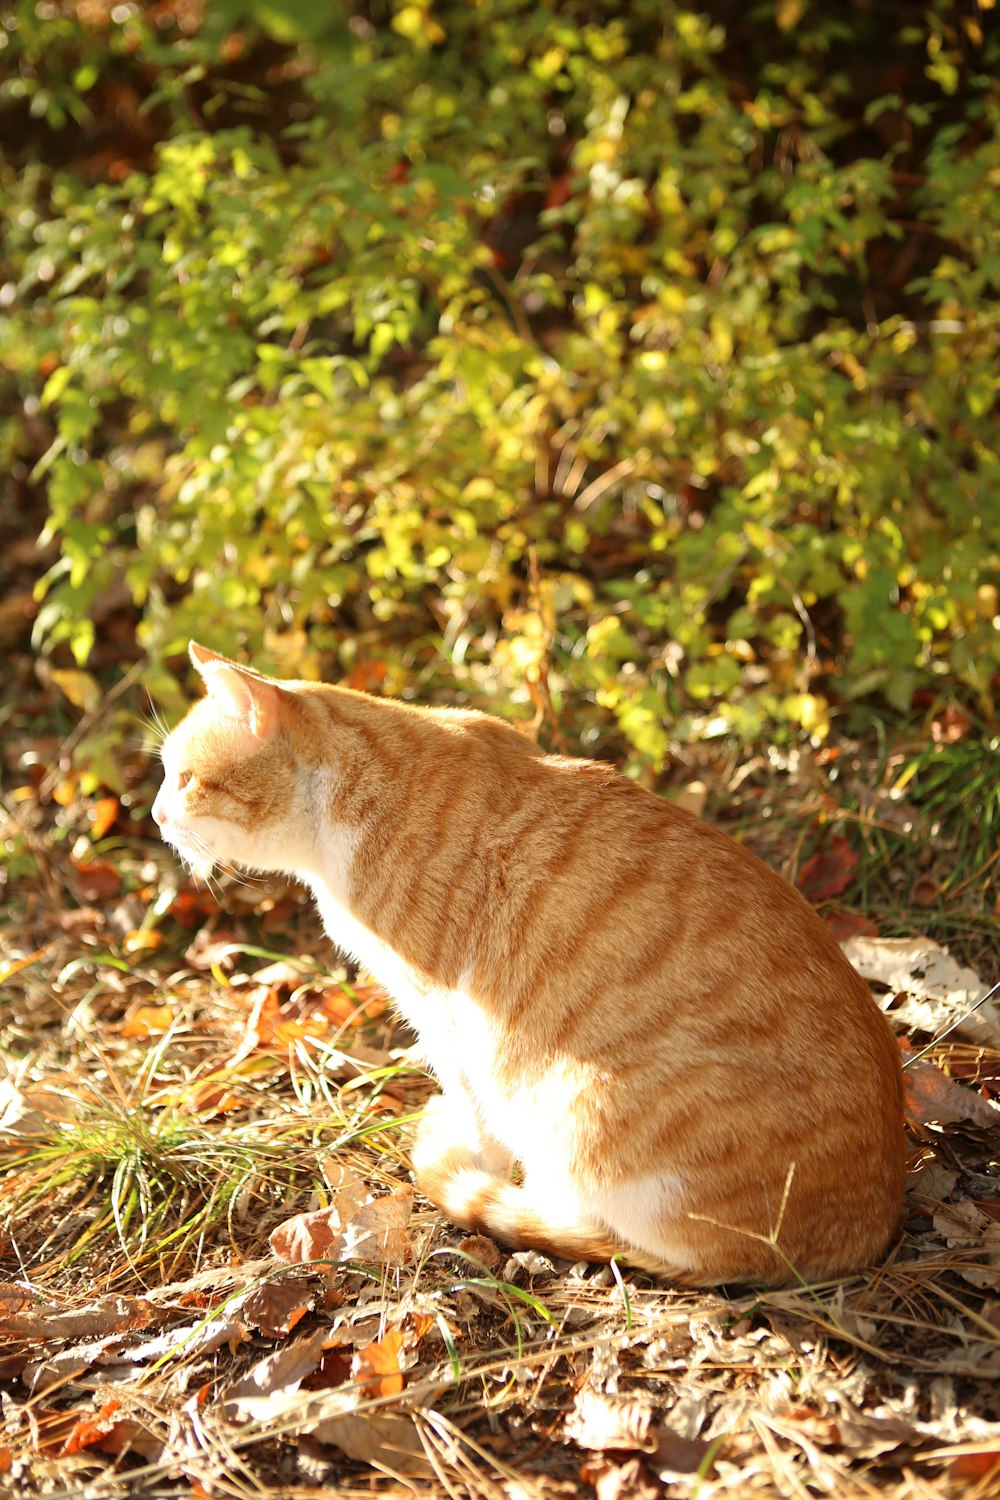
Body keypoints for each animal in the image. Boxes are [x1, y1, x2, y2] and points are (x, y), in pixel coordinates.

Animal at [154, 639, 905, 1284]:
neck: (348, 795)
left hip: (580, 1113)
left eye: (186, 779)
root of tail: (863, 1233)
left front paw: (475, 1154)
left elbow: (472, 1103)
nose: (157, 817)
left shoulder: (445, 1011)